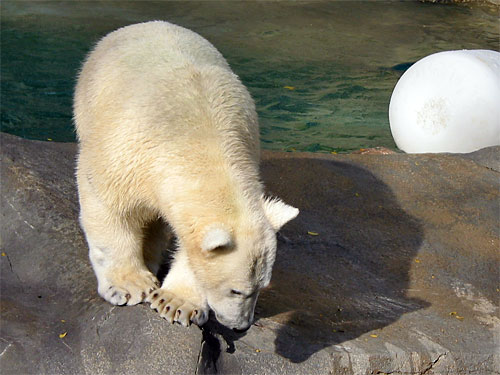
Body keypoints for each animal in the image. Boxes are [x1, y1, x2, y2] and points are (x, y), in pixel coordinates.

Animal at [73, 22, 298, 330]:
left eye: (261, 287)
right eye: (236, 290)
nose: (241, 325)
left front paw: (176, 303)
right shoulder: (124, 154)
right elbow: (109, 207)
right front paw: (130, 286)